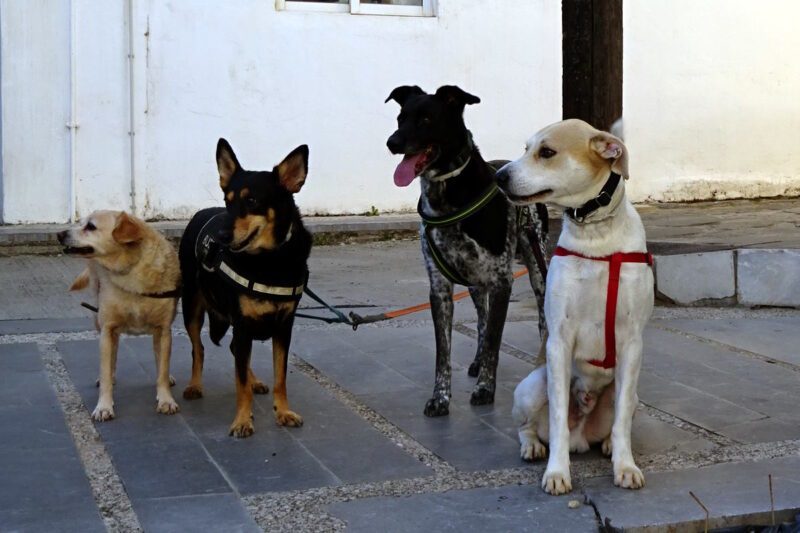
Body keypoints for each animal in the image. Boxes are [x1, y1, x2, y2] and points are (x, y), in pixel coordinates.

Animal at [58, 210, 182, 422]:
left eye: (90, 226)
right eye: (81, 222)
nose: (59, 234)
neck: (130, 270)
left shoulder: (164, 330)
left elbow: (163, 368)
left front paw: (166, 399)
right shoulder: (108, 329)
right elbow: (106, 370)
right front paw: (104, 406)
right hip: (100, 323)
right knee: (112, 357)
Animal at [180, 139, 310, 438]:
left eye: (252, 201)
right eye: (227, 201)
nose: (221, 236)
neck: (270, 261)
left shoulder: (284, 326)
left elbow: (280, 377)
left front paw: (283, 412)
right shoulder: (241, 323)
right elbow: (238, 382)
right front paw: (242, 420)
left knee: (231, 349)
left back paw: (255, 381)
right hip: (191, 307)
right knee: (198, 348)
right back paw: (195, 385)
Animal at [386, 84, 552, 416]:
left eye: (426, 119)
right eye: (400, 117)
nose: (392, 142)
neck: (448, 195)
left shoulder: (502, 281)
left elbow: (494, 344)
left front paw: (486, 389)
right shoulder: (439, 288)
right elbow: (444, 352)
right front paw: (440, 397)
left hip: (537, 266)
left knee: (540, 317)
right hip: (475, 283)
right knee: (482, 320)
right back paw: (475, 361)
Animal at [500, 118, 656, 492]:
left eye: (546, 152)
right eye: (526, 148)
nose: (498, 176)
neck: (596, 237)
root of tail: (581, 437)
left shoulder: (631, 342)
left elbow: (622, 421)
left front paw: (625, 466)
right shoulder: (559, 341)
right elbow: (557, 419)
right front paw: (557, 472)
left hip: (634, 396)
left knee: (620, 415)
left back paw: (609, 444)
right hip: (532, 386)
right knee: (527, 427)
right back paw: (532, 447)